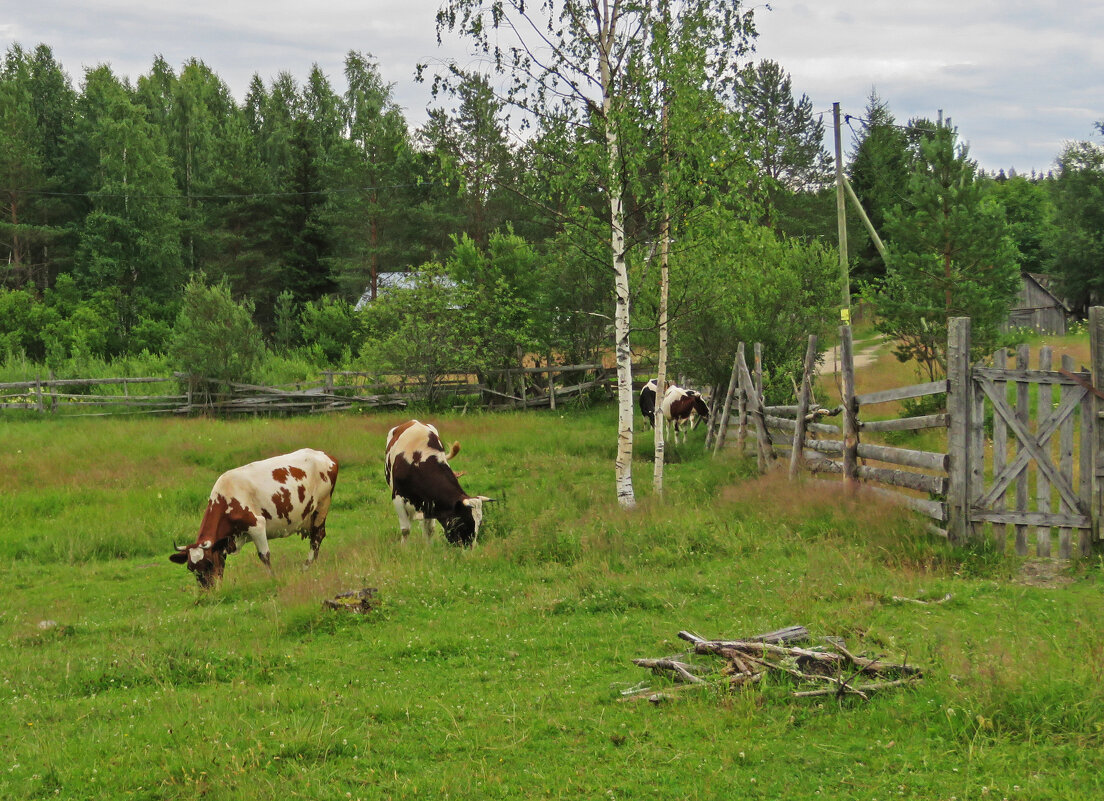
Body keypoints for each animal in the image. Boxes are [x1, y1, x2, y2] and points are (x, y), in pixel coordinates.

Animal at [168, 452, 335, 591]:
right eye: (190, 568)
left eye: (208, 563)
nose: (207, 590)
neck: (227, 497)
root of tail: (324, 455)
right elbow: (222, 563)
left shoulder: (257, 525)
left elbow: (264, 555)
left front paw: (272, 578)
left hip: (322, 506)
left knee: (317, 537)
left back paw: (307, 566)